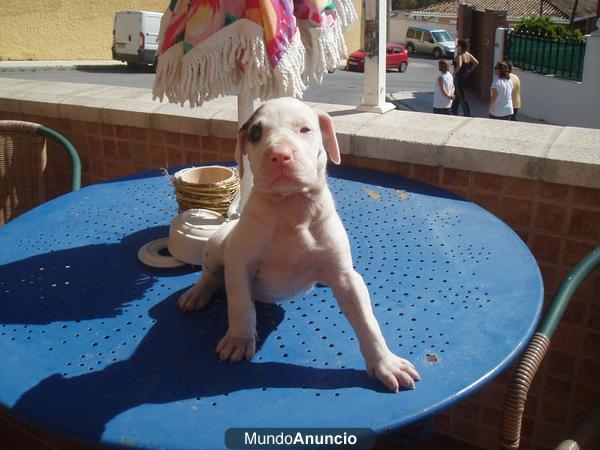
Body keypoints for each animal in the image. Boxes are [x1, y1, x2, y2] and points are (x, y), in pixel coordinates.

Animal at [178, 97, 420, 390]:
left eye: (305, 129)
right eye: (256, 134)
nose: (279, 154)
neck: (290, 207)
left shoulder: (345, 276)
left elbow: (367, 322)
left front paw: (386, 363)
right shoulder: (239, 266)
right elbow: (240, 305)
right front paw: (238, 340)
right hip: (216, 246)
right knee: (211, 275)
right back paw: (197, 293)